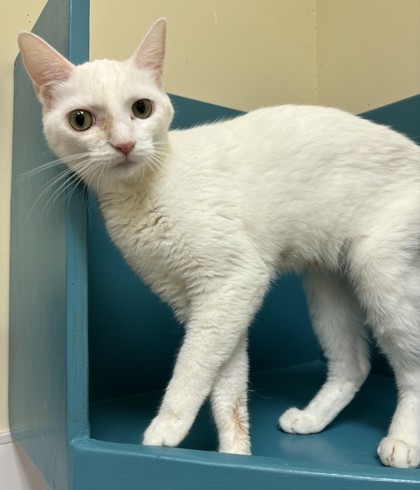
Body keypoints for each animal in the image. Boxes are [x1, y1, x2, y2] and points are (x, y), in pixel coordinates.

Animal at [19, 18, 420, 468]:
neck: (142, 194)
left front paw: (168, 427)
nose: (123, 144)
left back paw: (403, 441)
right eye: (81, 120)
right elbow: (226, 379)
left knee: (412, 369)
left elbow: (193, 365)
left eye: (141, 109)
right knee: (353, 364)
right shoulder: (201, 300)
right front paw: (235, 454)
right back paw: (310, 418)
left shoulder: (233, 282)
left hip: (380, 272)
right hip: (327, 285)